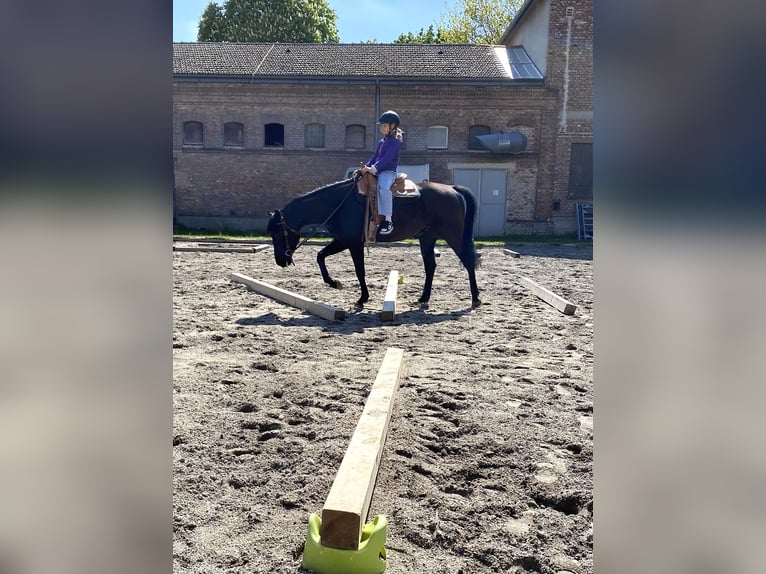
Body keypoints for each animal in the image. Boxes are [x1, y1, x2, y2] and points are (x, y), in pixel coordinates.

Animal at [268, 177, 484, 308]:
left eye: (277, 231)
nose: (279, 260)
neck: (338, 203)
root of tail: (453, 189)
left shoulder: (354, 243)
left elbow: (359, 271)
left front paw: (362, 298)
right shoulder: (342, 240)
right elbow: (320, 256)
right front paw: (334, 282)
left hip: (453, 235)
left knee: (468, 261)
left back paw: (475, 298)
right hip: (427, 237)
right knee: (431, 266)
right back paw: (423, 298)